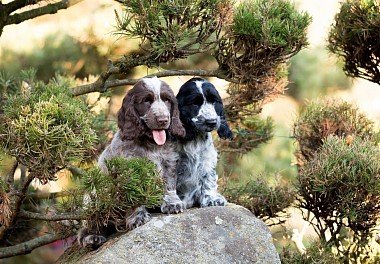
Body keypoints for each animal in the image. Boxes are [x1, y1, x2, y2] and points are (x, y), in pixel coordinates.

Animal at [78, 76, 186, 248]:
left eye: (167, 100)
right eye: (146, 101)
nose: (163, 120)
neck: (151, 143)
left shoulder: (168, 162)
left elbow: (169, 185)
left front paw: (172, 203)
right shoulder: (130, 172)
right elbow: (133, 197)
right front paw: (137, 217)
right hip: (94, 200)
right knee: (84, 230)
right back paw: (92, 238)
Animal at [176, 77, 235, 209]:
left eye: (214, 102)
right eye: (195, 103)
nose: (212, 122)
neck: (195, 136)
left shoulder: (207, 159)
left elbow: (208, 179)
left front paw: (212, 199)